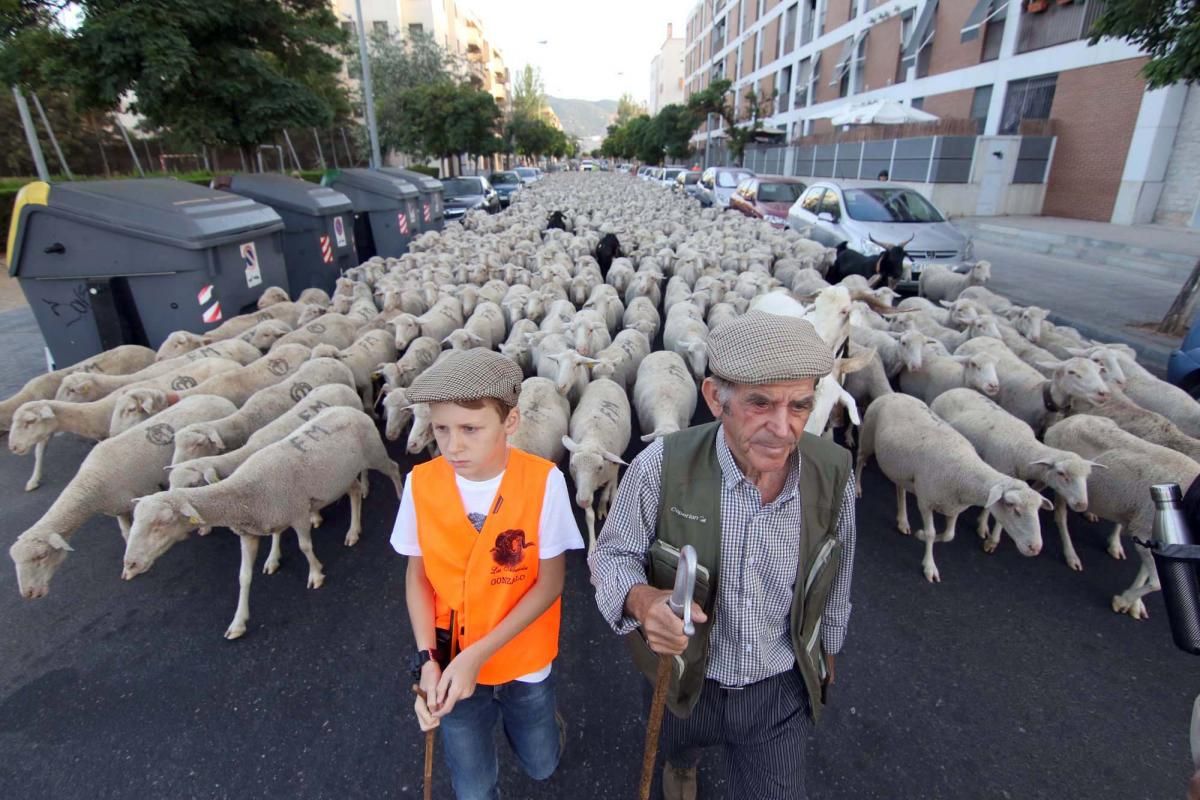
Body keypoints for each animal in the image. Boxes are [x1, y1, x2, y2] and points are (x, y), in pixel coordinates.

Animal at [123, 407, 403, 638]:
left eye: (161, 523)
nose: (130, 565)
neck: (243, 493)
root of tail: (351, 409)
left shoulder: (298, 513)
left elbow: (305, 547)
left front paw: (315, 574)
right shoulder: (252, 531)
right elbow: (244, 576)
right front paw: (238, 623)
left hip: (374, 453)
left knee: (393, 468)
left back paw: (401, 497)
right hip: (340, 477)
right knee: (354, 491)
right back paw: (353, 531)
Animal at [854, 393, 1051, 582]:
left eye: (1037, 509)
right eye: (1013, 507)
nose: (1036, 548)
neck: (965, 471)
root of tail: (893, 394)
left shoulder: (953, 506)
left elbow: (949, 535)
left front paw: (920, 535)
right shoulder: (925, 501)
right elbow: (932, 533)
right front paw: (929, 566)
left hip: (899, 467)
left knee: (900, 489)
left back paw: (903, 521)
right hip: (868, 436)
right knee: (860, 460)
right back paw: (857, 488)